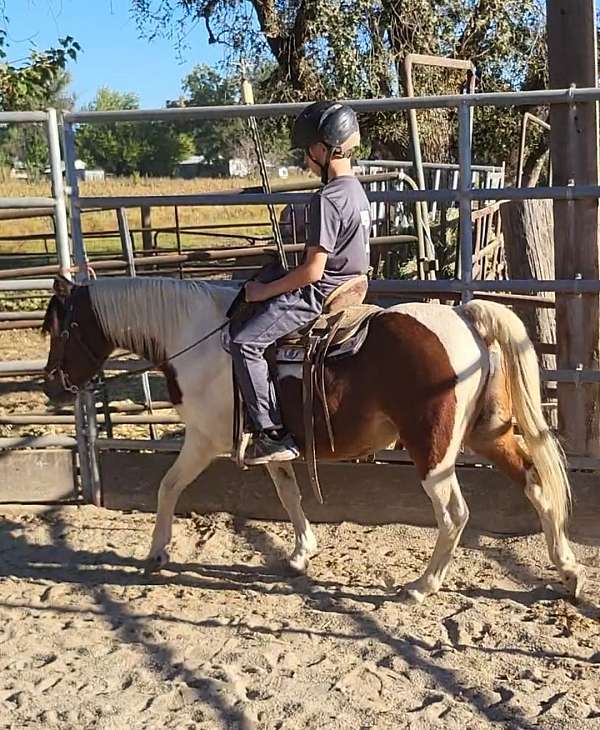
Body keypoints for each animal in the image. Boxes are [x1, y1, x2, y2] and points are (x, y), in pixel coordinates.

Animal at [43, 276, 584, 600]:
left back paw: (423, 584)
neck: (197, 338)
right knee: (536, 486)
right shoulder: (271, 439)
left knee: (454, 513)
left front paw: (156, 553)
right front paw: (303, 552)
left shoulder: (201, 440)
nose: (51, 385)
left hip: (434, 454)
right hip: (489, 434)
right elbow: (288, 493)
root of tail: (464, 318)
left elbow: (167, 487)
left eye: (59, 329)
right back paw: (568, 572)